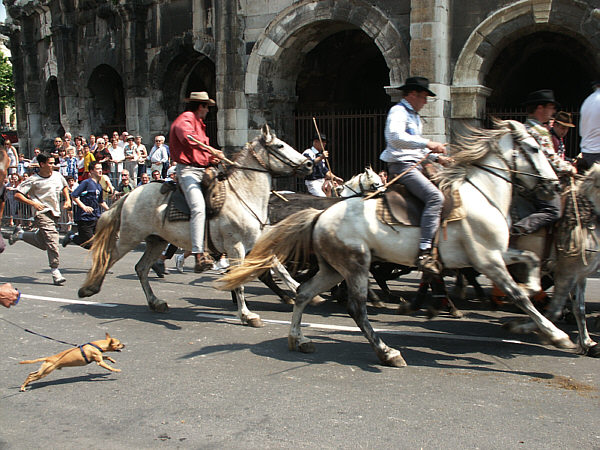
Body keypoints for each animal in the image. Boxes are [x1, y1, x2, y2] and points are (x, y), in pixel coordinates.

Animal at [79, 125, 312, 326]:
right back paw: (89, 288)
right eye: (280, 146)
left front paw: (301, 291)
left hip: (156, 240)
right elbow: (240, 282)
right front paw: (247, 315)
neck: (244, 195)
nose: (309, 164)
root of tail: (130, 194)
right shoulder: (235, 247)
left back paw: (156, 302)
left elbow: (280, 268)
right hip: (130, 237)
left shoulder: (256, 243)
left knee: (141, 268)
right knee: (108, 257)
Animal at [217, 121, 576, 368]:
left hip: (334, 268)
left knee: (305, 293)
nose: (554, 185)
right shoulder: (487, 259)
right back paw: (387, 350)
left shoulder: (496, 255)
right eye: (535, 149)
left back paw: (299, 338)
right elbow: (518, 295)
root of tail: (322, 215)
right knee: (356, 307)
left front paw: (529, 306)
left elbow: (530, 265)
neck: (480, 193)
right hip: (355, 265)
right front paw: (556, 334)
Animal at [506, 163, 600, 356]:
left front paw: (588, 343)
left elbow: (579, 308)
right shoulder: (565, 273)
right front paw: (524, 327)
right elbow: (554, 311)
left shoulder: (580, 274)